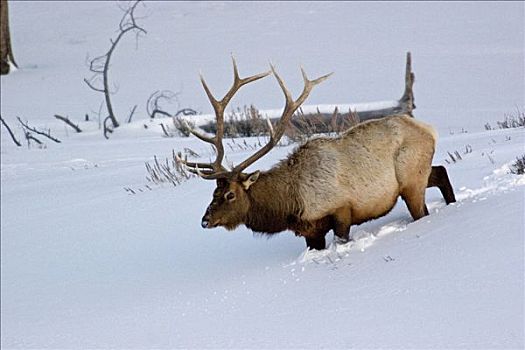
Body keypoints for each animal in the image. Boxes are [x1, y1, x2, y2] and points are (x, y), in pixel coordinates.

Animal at [179, 56, 454, 249]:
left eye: (230, 195)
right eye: (214, 192)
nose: (205, 220)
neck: (291, 204)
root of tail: (429, 129)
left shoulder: (341, 210)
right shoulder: (311, 231)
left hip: (411, 179)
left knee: (423, 209)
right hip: (419, 173)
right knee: (441, 171)